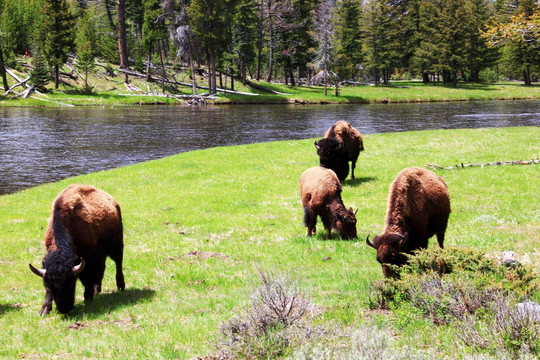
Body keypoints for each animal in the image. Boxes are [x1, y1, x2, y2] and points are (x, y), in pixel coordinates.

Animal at [29, 186, 124, 316]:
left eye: (71, 283)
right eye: (50, 285)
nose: (64, 309)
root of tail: (114, 202)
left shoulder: (91, 258)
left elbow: (88, 278)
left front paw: (88, 297)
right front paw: (44, 309)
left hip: (116, 245)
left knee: (118, 263)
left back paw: (120, 286)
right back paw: (98, 290)